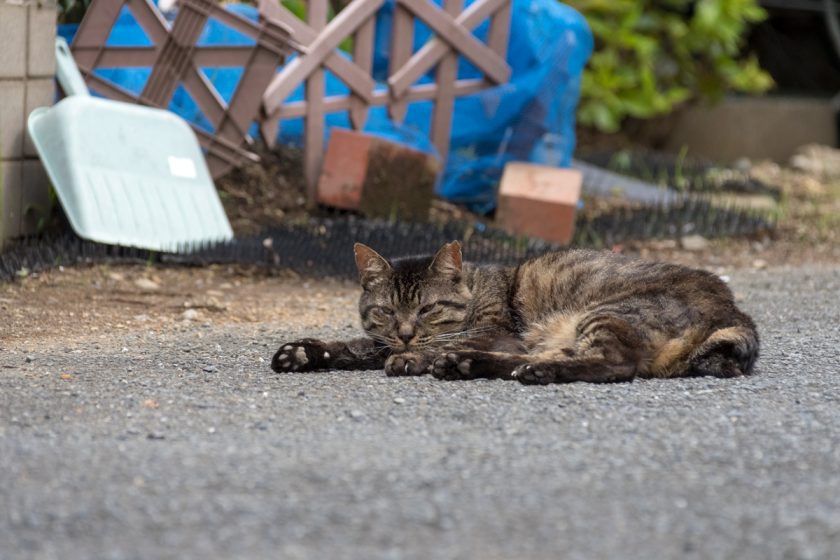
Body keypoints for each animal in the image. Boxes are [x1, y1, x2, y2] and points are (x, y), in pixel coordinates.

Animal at [272, 241, 756, 384]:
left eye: (427, 309)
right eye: (388, 311)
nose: (407, 333)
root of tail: (735, 310)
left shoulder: (496, 330)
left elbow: (430, 346)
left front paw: (412, 357)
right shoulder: (377, 339)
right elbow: (357, 346)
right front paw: (304, 351)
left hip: (607, 313)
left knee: (613, 364)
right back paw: (467, 365)